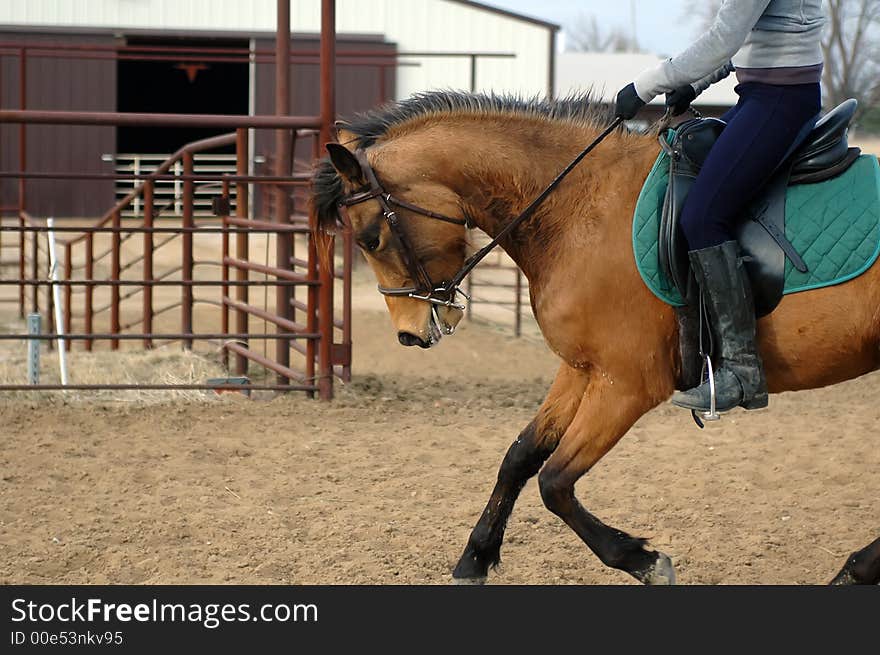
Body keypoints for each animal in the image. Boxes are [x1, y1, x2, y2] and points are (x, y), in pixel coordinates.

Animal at [312, 89, 880, 588]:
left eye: (370, 239)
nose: (409, 335)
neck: (580, 206)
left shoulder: (627, 384)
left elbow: (555, 481)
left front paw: (643, 560)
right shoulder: (581, 369)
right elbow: (520, 457)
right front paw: (474, 559)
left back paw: (855, 570)